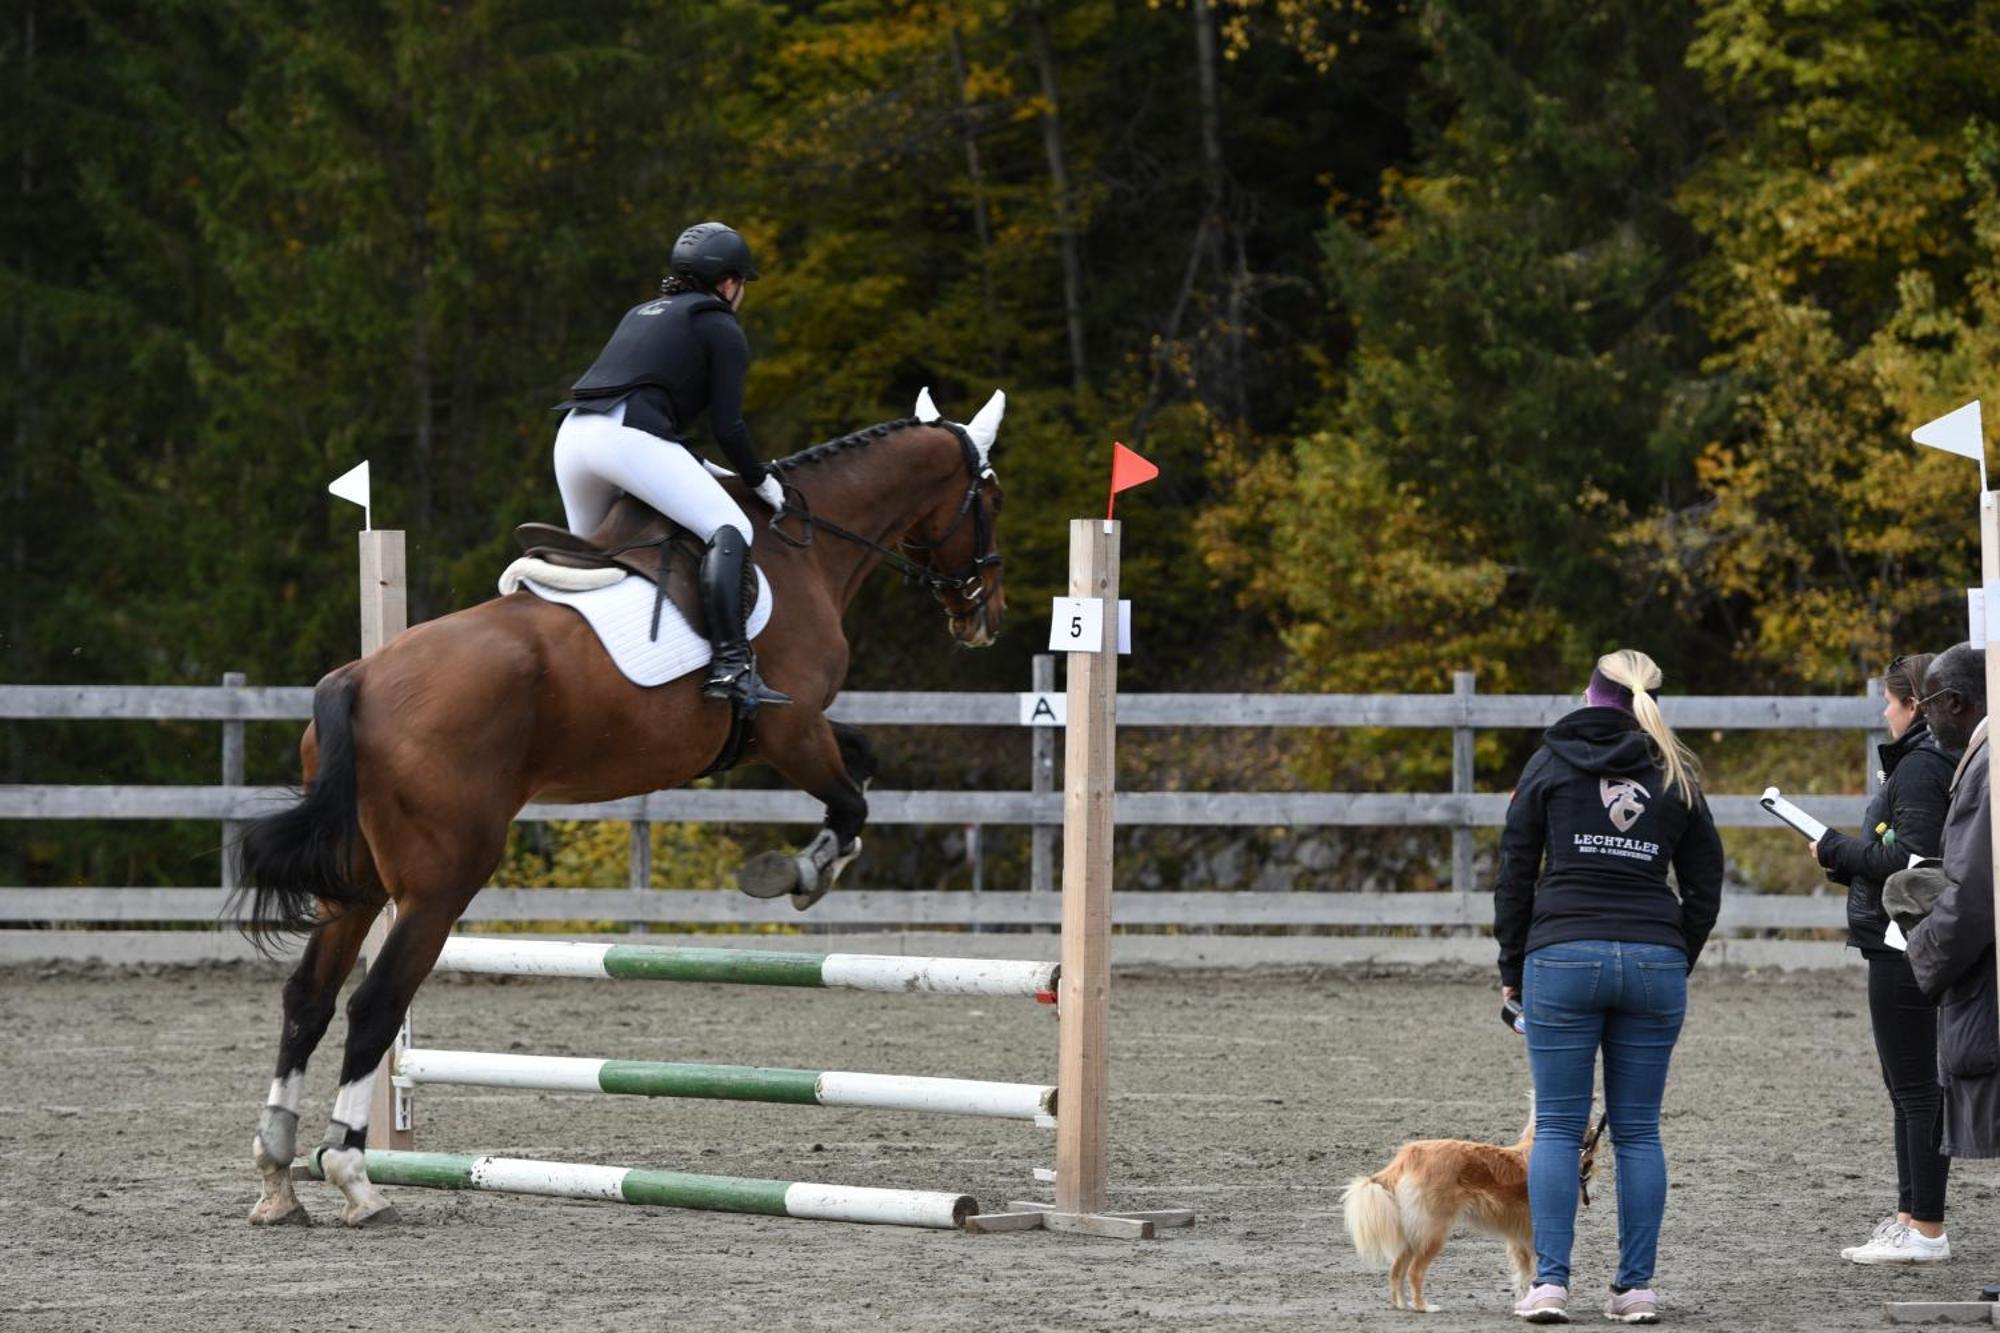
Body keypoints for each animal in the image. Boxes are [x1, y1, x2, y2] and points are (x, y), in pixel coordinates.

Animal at [236, 386, 1008, 1224]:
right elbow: (850, 801)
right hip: (439, 883)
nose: (985, 615)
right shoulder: (791, 728)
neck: (802, 547)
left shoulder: (795, 731)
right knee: (375, 1004)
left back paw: (279, 1174)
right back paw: (355, 1175)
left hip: (358, 880)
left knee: (307, 997)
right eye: (992, 497)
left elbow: (861, 765)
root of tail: (358, 679)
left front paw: (808, 868)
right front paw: (799, 873)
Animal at [1344, 1096, 1608, 1304]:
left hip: (1415, 1231)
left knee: (1396, 1270)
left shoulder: (1519, 1239)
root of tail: (1410, 1154)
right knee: (1414, 1272)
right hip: (1433, 1233)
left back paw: (1401, 1305)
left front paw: (1525, 1301)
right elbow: (1534, 1271)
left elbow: (1524, 1275)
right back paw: (1423, 1307)